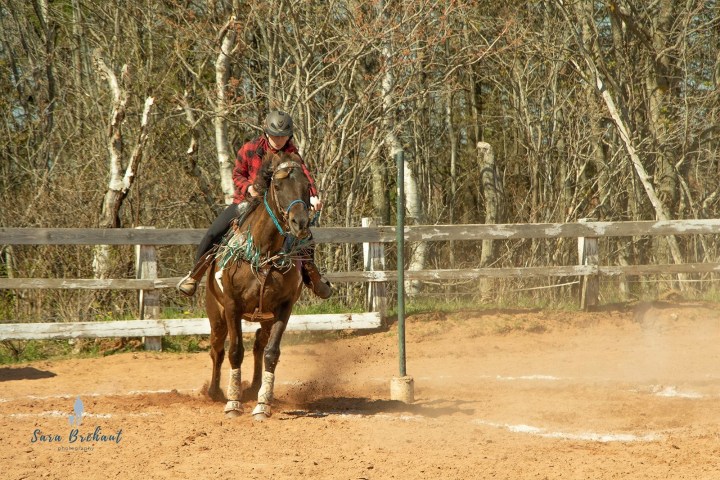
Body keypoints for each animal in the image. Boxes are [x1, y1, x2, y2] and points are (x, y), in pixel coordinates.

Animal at [205, 151, 313, 420]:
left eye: (307, 186)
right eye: (278, 186)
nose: (300, 222)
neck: (263, 252)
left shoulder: (284, 308)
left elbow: (271, 353)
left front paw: (263, 404)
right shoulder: (232, 306)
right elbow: (234, 351)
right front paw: (233, 403)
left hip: (265, 317)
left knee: (258, 344)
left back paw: (254, 389)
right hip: (217, 314)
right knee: (217, 348)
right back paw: (214, 391)